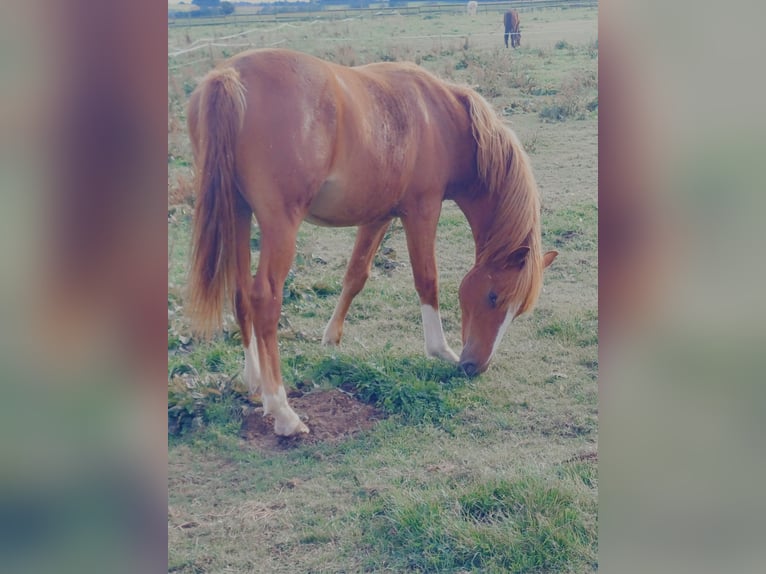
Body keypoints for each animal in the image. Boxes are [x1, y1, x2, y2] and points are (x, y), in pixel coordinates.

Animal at [186, 49, 560, 436]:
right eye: (493, 297)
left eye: (518, 311)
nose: (475, 367)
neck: (445, 120)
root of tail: (230, 75)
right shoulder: (422, 210)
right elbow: (427, 280)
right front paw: (441, 350)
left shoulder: (379, 216)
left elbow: (356, 275)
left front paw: (331, 338)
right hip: (279, 224)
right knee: (264, 299)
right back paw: (282, 411)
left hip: (237, 213)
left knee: (240, 293)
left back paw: (255, 381)